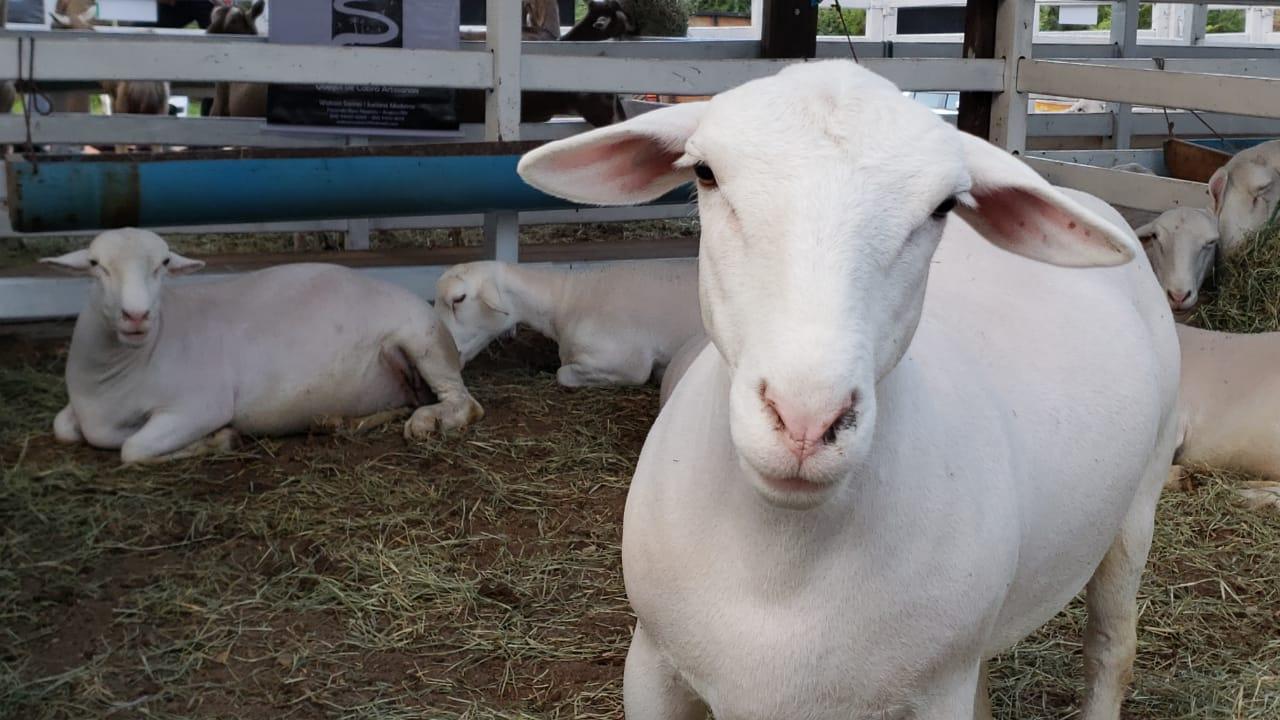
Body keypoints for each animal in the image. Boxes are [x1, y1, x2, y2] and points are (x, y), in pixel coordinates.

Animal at [42, 229, 481, 466]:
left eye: (163, 264)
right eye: (96, 265)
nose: (136, 315)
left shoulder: (199, 405)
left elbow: (132, 448)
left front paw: (218, 440)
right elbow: (63, 428)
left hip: (425, 341)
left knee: (464, 402)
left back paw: (427, 421)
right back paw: (341, 422)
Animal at [514, 60, 1172, 717]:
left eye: (943, 207)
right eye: (705, 173)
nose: (806, 420)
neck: (782, 565)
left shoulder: (935, 692)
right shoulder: (651, 662)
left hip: (1139, 501)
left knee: (1111, 648)